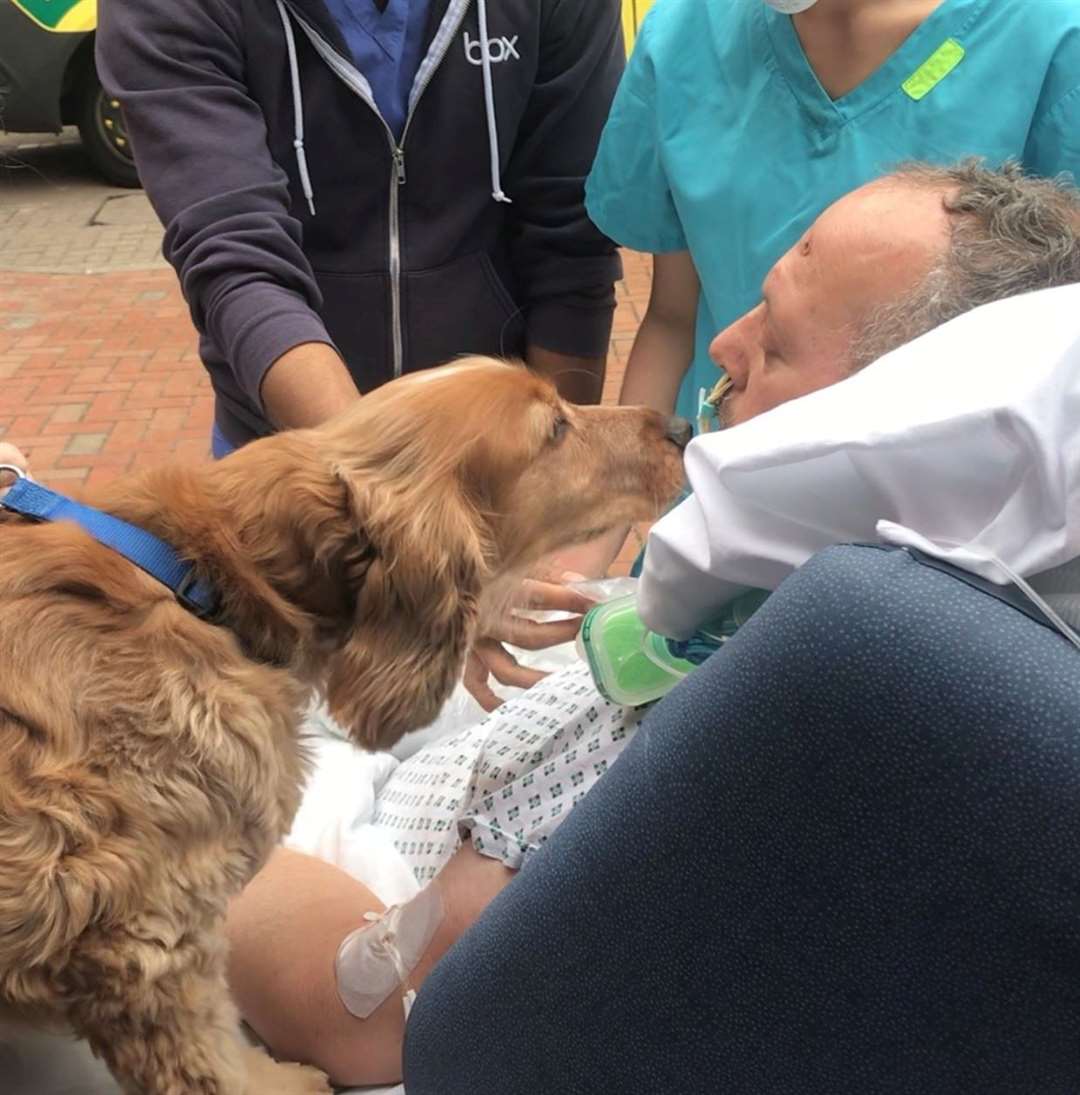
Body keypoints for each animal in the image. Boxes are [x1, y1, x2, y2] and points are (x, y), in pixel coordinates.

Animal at [0, 356, 687, 1086]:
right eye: (555, 428)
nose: (680, 426)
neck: (206, 585)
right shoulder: (147, 943)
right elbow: (222, 1064)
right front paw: (286, 1081)